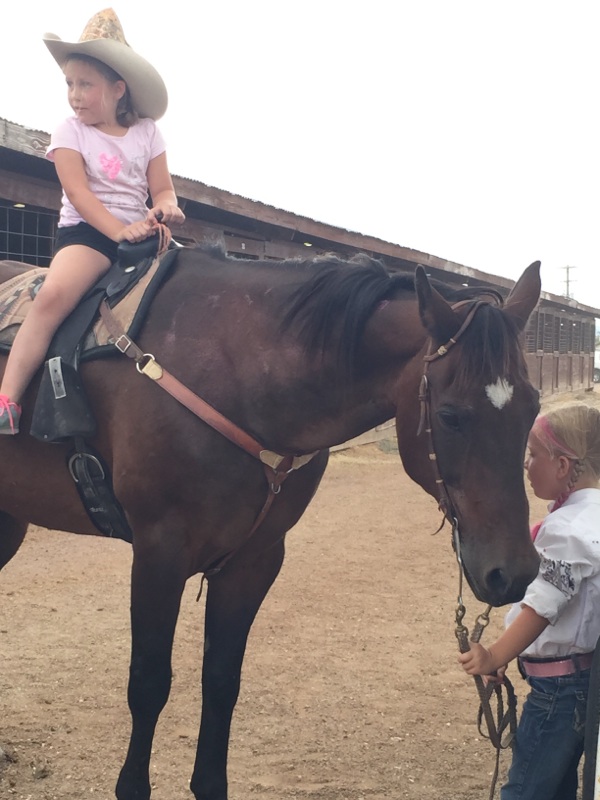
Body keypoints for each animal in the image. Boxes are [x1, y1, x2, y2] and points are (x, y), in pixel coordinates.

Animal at [0, 249, 541, 800]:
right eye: (451, 416)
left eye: (533, 407)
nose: (513, 572)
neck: (235, 371)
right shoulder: (159, 554)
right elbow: (148, 684)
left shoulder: (253, 560)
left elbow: (221, 682)